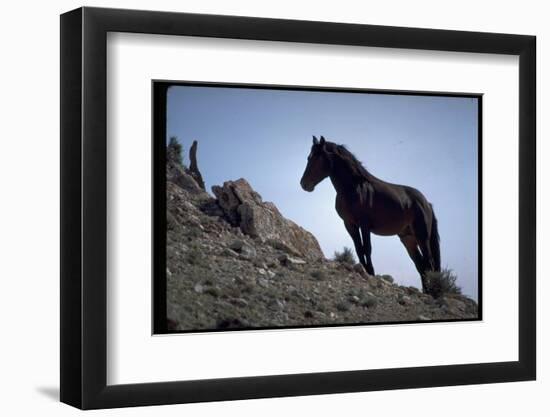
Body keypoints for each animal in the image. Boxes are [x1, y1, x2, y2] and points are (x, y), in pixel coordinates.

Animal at [300, 135, 442, 290]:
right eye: (308, 157)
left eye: (316, 158)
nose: (304, 184)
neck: (353, 188)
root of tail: (427, 203)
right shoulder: (349, 224)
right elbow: (359, 248)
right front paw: (364, 269)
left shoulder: (364, 224)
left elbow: (367, 248)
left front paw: (371, 272)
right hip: (408, 239)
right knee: (421, 265)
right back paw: (427, 291)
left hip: (422, 237)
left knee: (429, 263)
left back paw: (432, 290)